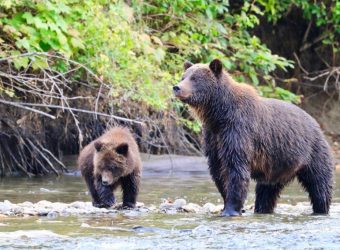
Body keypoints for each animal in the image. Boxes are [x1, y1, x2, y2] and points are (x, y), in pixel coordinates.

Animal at [174, 59, 334, 217]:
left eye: (195, 79)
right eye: (183, 77)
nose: (177, 87)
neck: (218, 113)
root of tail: (316, 123)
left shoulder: (238, 130)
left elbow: (235, 168)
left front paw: (230, 210)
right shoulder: (214, 137)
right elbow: (218, 171)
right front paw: (226, 204)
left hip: (312, 152)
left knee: (319, 184)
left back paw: (320, 209)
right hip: (277, 164)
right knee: (267, 191)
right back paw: (263, 209)